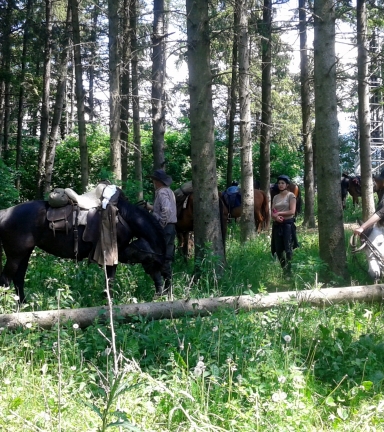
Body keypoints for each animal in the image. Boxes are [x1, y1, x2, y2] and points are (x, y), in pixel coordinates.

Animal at [0, 192, 166, 304]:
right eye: (153, 263)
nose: (160, 293)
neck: (123, 217)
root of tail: (5, 213)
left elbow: (110, 280)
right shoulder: (112, 254)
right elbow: (110, 280)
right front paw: (108, 303)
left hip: (24, 254)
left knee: (18, 278)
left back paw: (23, 304)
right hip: (15, 255)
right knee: (5, 280)